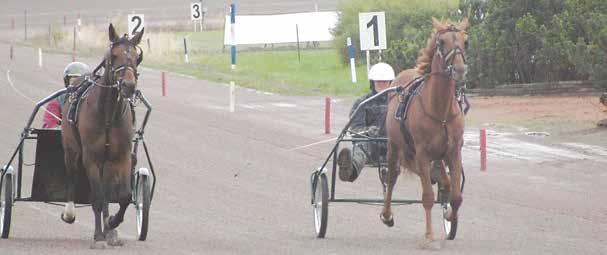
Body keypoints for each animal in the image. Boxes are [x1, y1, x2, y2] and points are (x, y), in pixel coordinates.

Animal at [60, 23, 144, 247]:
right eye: (113, 56)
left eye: (137, 57)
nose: (128, 86)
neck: (107, 116)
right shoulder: (91, 156)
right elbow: (96, 198)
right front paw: (98, 237)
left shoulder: (122, 156)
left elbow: (123, 196)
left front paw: (112, 223)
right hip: (71, 148)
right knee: (72, 173)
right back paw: (71, 213)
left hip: (108, 162)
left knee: (107, 192)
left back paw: (108, 229)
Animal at [380, 17, 470, 245]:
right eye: (441, 43)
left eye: (466, 42)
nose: (459, 70)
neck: (440, 109)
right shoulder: (421, 151)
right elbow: (427, 196)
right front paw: (429, 234)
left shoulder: (454, 151)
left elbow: (456, 196)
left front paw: (450, 216)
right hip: (395, 146)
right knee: (392, 178)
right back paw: (387, 214)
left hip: (436, 153)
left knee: (439, 175)